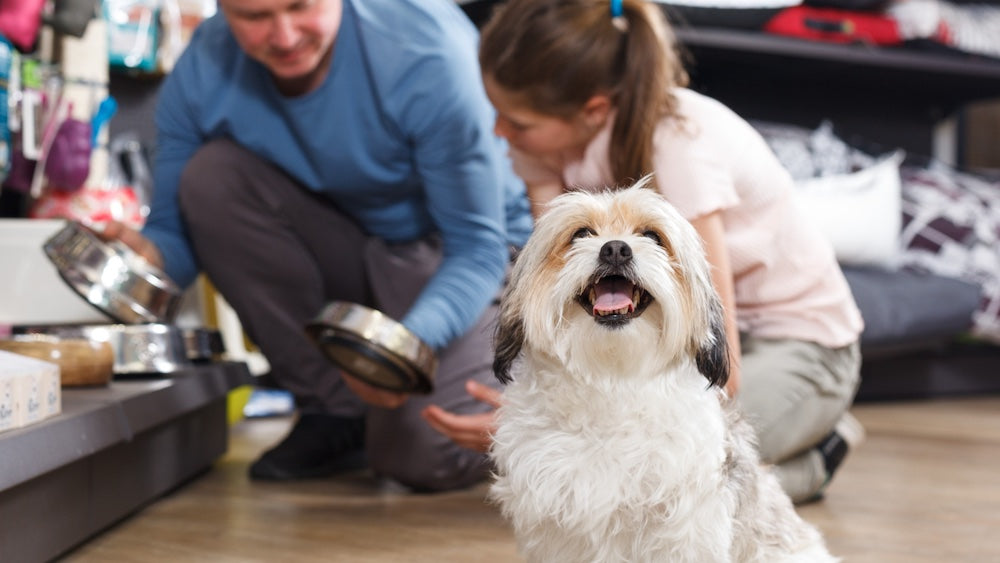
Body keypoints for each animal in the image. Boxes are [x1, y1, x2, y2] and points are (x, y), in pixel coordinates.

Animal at [492, 183, 836, 563]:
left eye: (652, 236)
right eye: (580, 234)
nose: (615, 248)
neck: (612, 381)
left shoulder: (687, 529)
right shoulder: (557, 529)